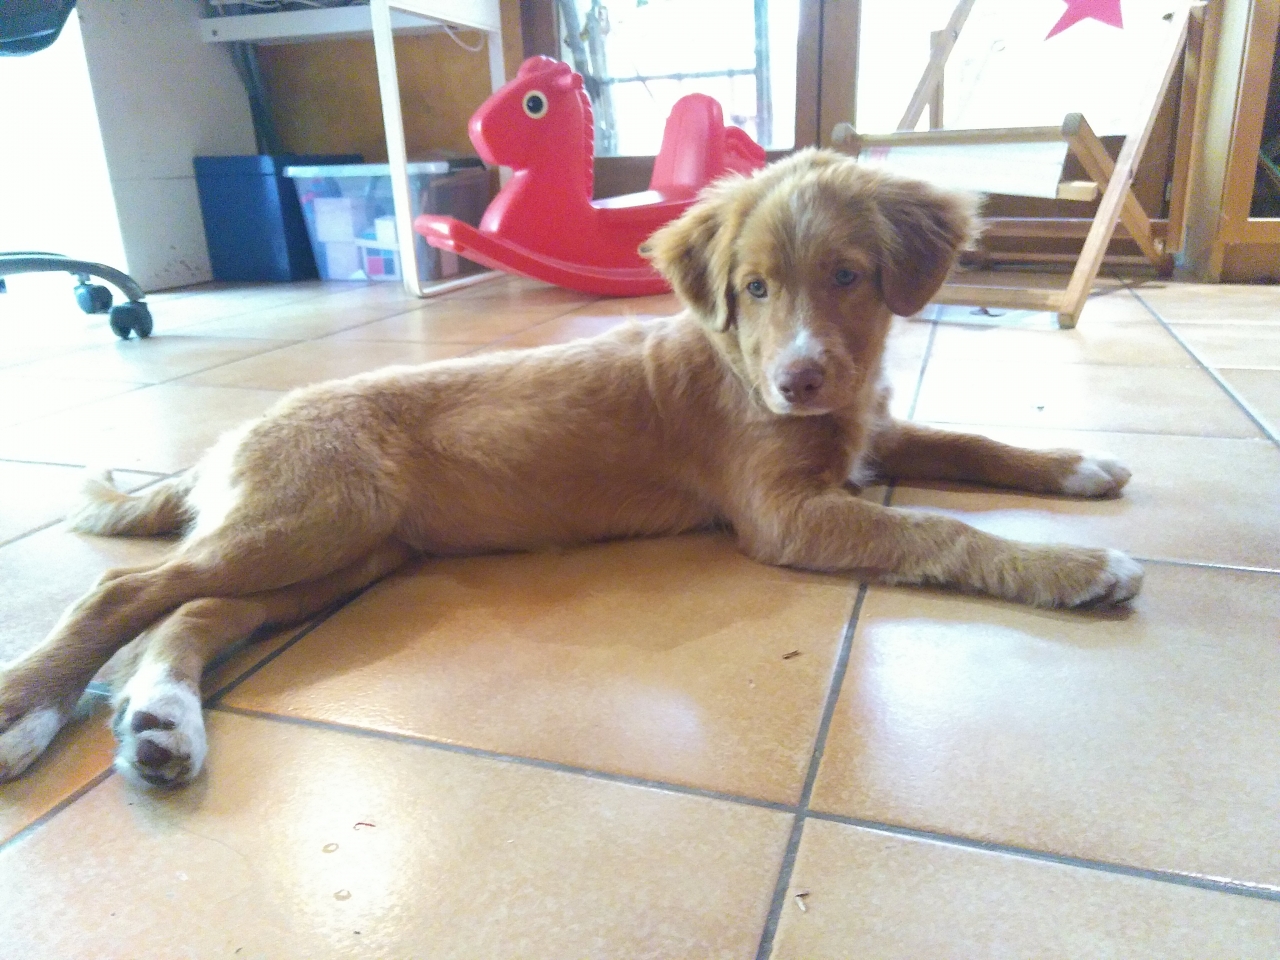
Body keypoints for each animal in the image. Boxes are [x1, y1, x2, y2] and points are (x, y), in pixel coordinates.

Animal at [0, 149, 1140, 788]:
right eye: (754, 288)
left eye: (849, 277)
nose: (800, 380)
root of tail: (225, 442)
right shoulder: (784, 514)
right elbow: (936, 527)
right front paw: (1075, 569)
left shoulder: (868, 432)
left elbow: (968, 444)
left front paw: (1075, 467)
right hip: (311, 517)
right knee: (125, 589)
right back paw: (30, 712)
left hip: (341, 557)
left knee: (193, 609)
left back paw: (160, 723)